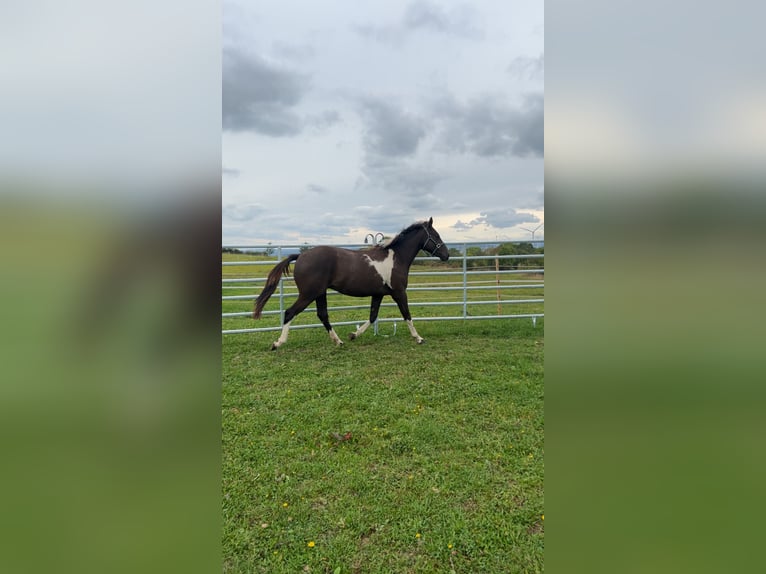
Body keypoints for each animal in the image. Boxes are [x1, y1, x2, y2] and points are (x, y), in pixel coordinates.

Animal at [253, 218, 450, 350]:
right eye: (436, 235)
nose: (446, 255)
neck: (396, 258)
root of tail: (300, 255)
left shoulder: (378, 294)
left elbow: (373, 316)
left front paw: (353, 335)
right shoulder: (399, 292)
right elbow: (407, 315)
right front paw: (419, 338)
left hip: (319, 293)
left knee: (322, 315)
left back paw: (338, 341)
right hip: (308, 294)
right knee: (290, 312)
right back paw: (277, 343)